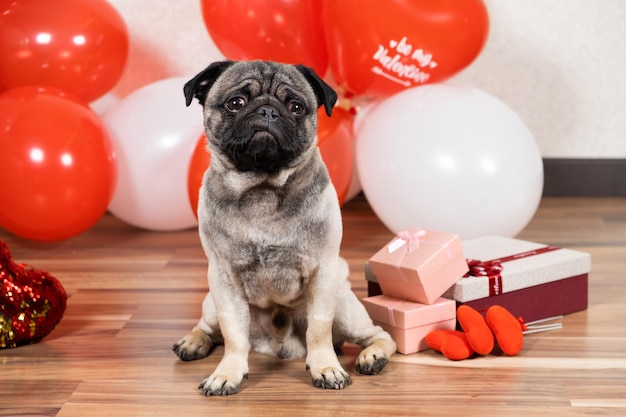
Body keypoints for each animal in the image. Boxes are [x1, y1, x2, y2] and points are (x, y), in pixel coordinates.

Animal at [172, 60, 394, 394]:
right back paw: (193, 342)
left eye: (296, 106)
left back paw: (373, 356)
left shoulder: (323, 273)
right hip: (211, 302)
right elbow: (233, 335)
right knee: (211, 329)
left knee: (379, 334)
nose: (268, 111)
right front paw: (227, 373)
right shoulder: (223, 280)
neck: (262, 187)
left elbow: (318, 329)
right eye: (236, 103)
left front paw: (326, 368)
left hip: (344, 304)